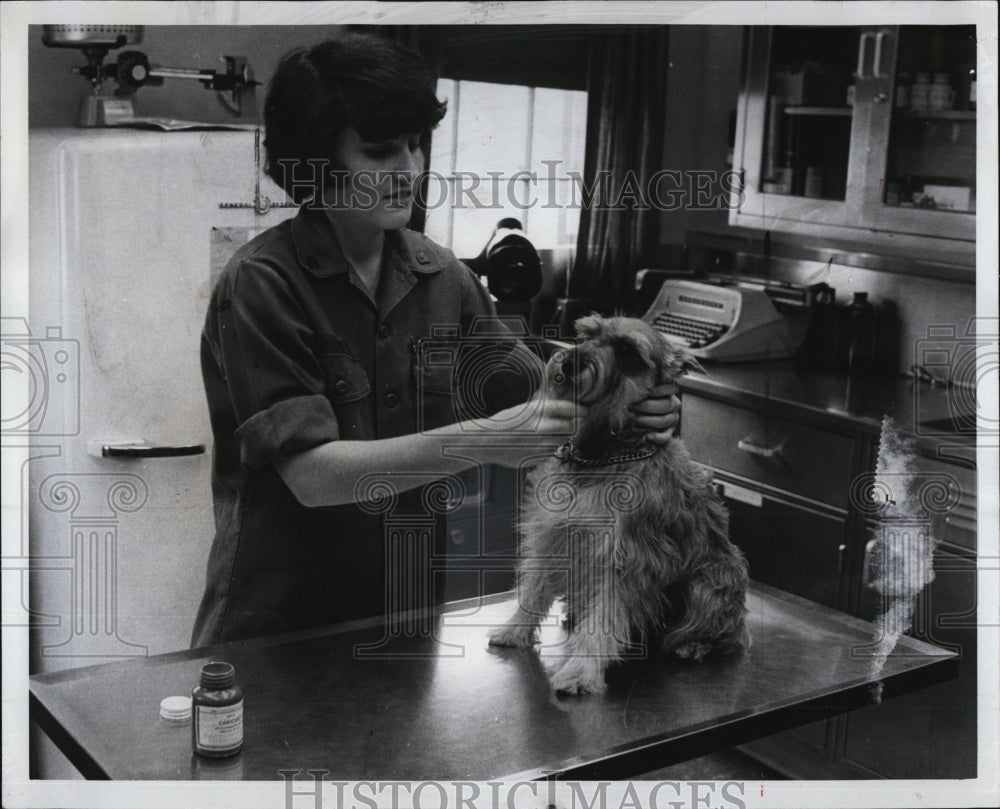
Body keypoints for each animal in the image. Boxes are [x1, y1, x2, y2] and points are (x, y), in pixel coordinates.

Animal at [488, 316, 748, 696]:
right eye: (586, 334)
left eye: (627, 350)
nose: (569, 361)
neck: (599, 454)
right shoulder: (551, 535)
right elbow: (534, 588)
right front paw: (514, 629)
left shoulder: (624, 560)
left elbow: (604, 618)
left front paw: (580, 672)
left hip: (709, 582)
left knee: (724, 632)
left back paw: (694, 643)